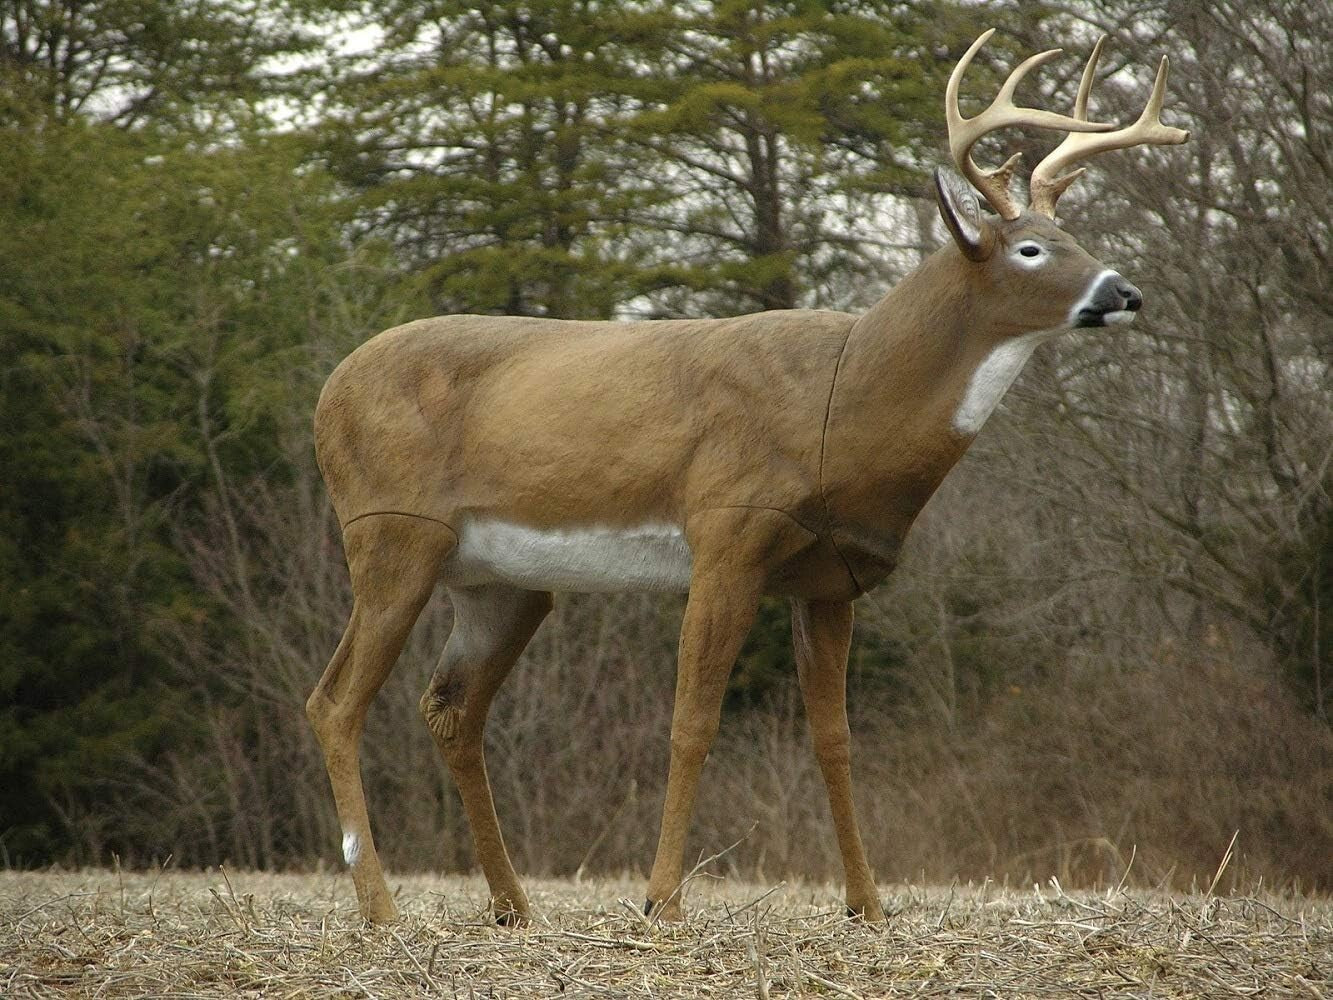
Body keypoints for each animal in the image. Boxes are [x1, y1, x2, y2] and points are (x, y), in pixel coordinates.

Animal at [306, 29, 1188, 925]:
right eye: (1030, 248)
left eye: (1074, 235)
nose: (1124, 291)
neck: (843, 406)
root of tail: (329, 389)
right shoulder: (727, 532)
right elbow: (692, 721)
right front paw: (661, 901)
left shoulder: (830, 578)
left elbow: (833, 737)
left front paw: (867, 906)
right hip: (390, 532)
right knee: (334, 702)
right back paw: (380, 908)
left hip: (500, 582)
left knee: (450, 710)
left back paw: (512, 906)